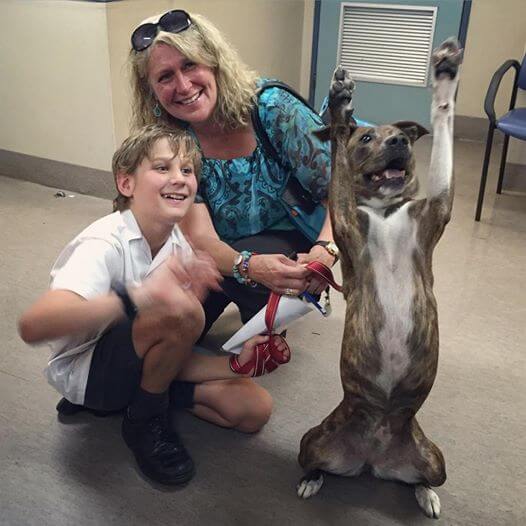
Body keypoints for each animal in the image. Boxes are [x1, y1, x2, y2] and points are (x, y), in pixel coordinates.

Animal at [300, 39, 464, 520]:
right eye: (367, 138)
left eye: (403, 136)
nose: (398, 143)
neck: (386, 210)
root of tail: (373, 459)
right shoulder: (345, 223)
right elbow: (336, 151)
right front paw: (339, 105)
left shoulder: (437, 206)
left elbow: (445, 123)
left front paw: (445, 78)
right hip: (313, 439)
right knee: (313, 462)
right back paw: (311, 480)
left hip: (435, 458)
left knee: (424, 478)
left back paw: (425, 494)